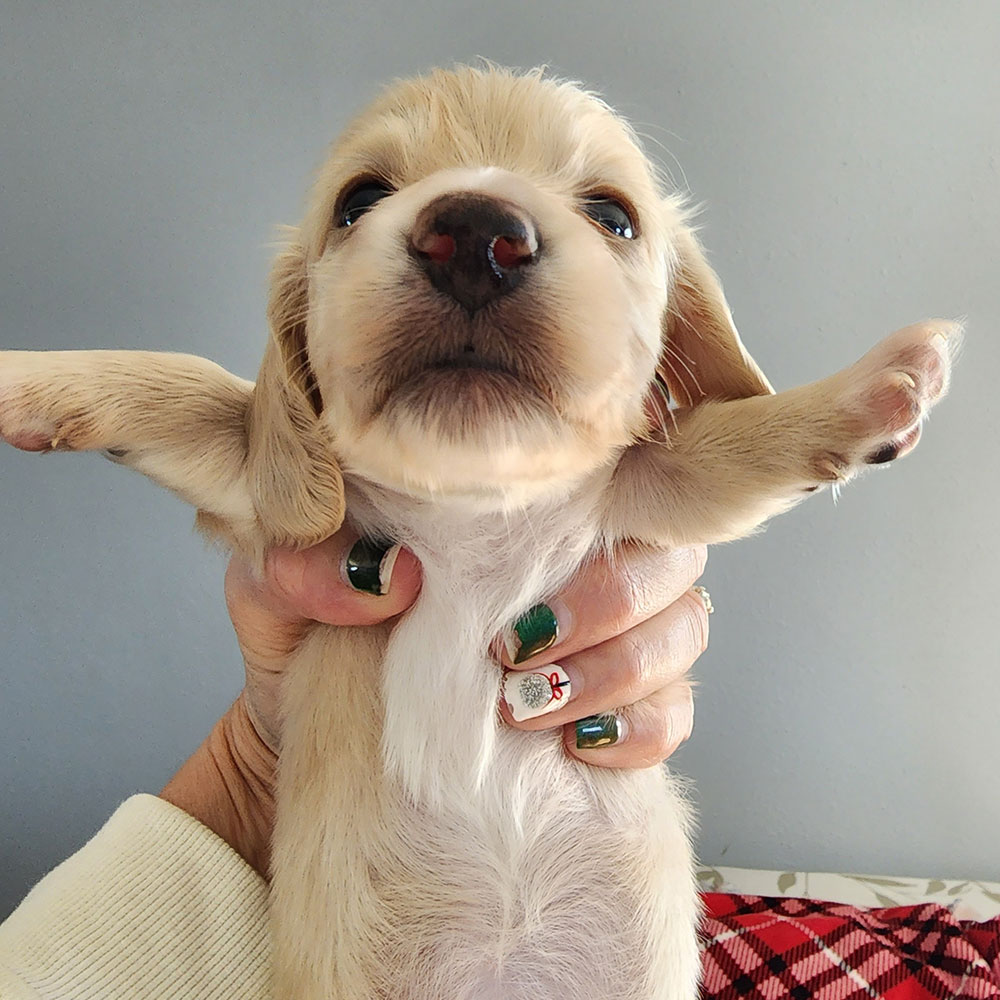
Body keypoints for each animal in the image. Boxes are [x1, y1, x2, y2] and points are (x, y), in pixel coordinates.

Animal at [0, 66, 960, 996]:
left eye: (614, 215)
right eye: (358, 199)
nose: (475, 233)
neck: (474, 499)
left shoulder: (653, 491)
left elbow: (741, 439)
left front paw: (885, 383)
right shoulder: (263, 496)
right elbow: (192, 392)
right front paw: (24, 380)